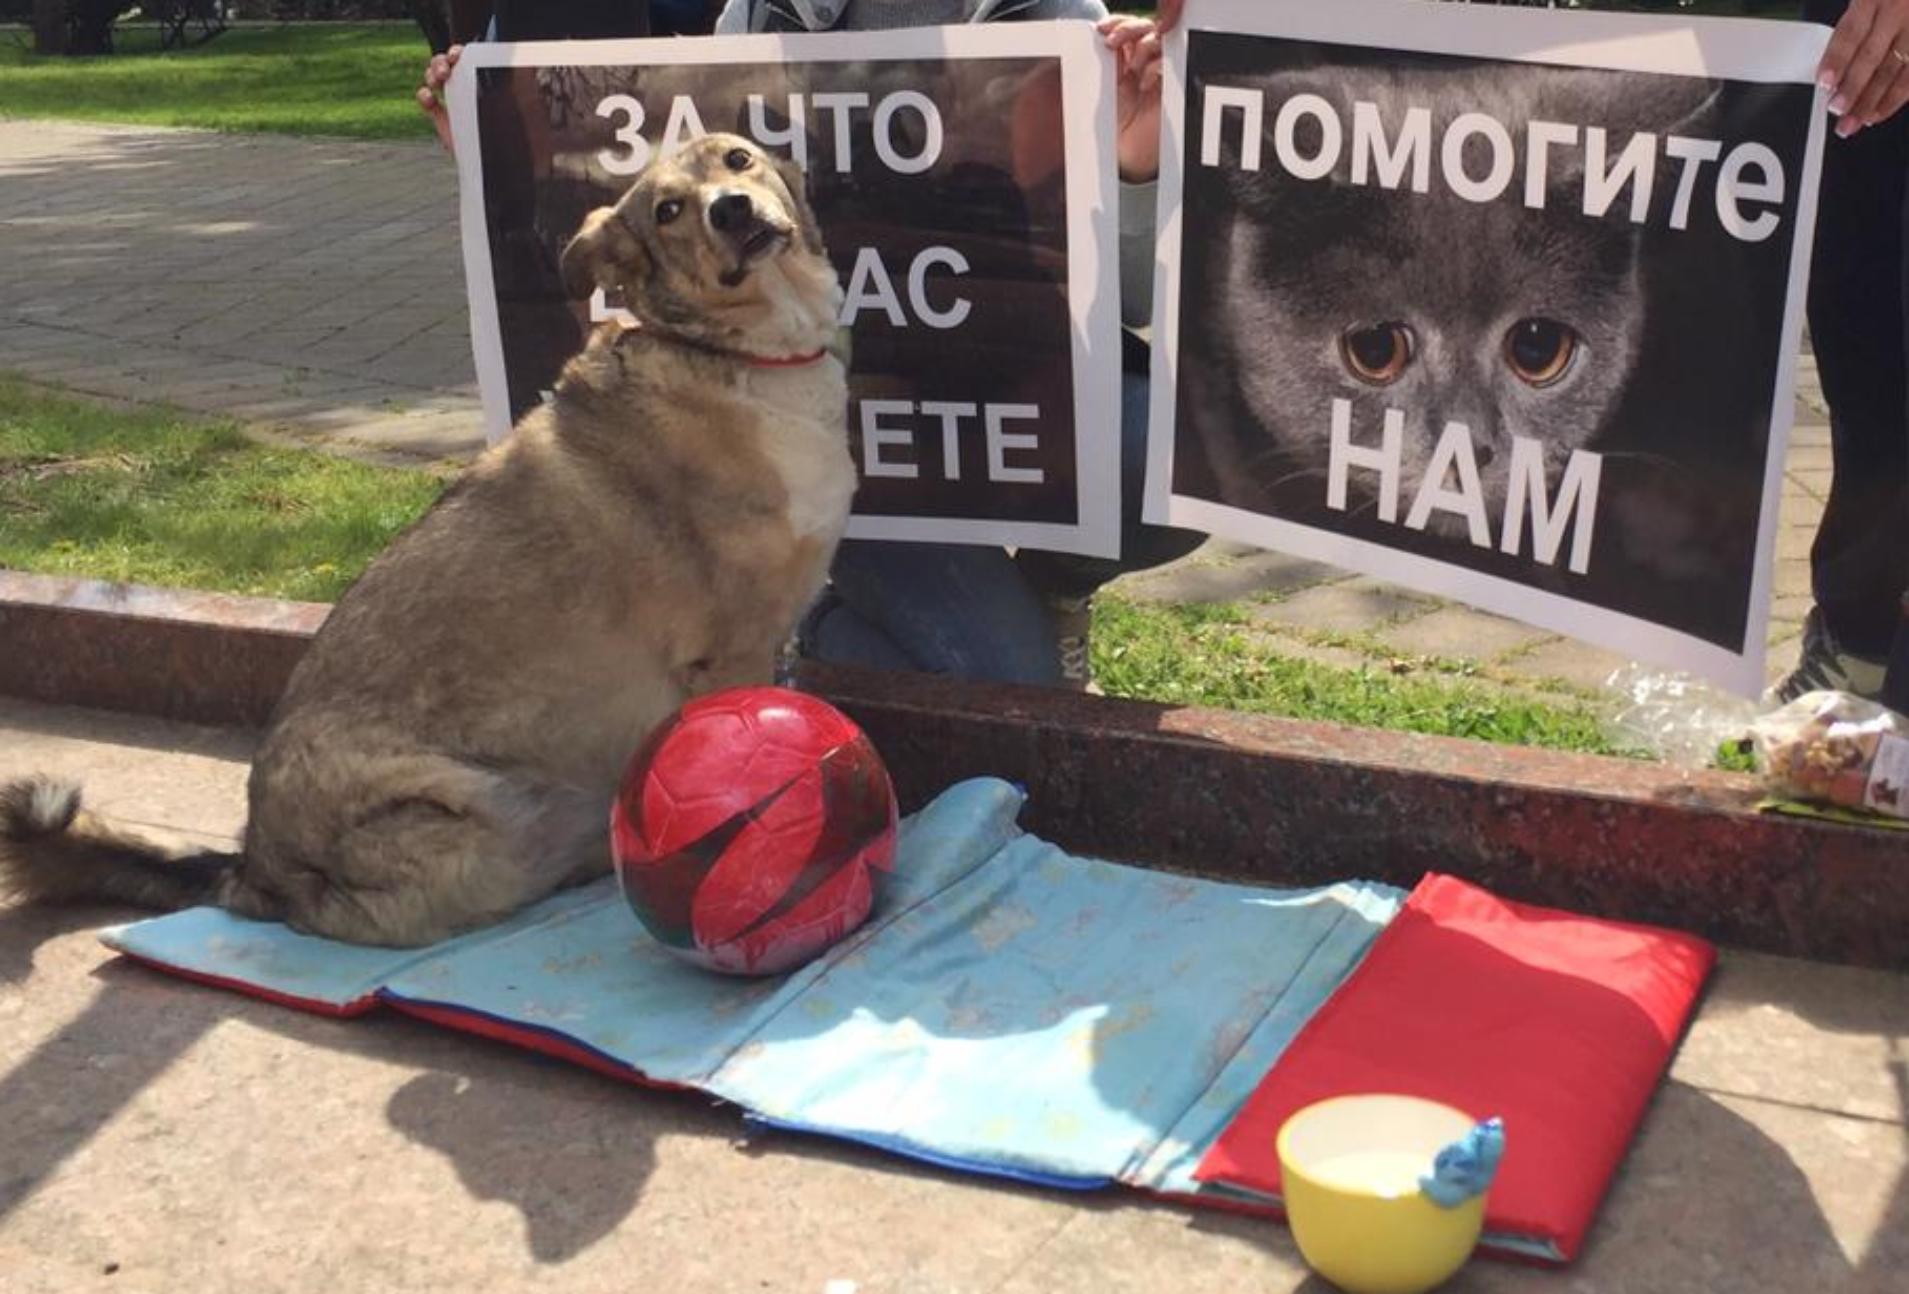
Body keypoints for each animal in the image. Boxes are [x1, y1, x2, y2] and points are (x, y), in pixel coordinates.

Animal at [0, 136, 851, 946]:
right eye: (669, 211)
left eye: (736, 159)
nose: (730, 210)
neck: (732, 354)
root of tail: (252, 871)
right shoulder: (733, 649)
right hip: (483, 822)